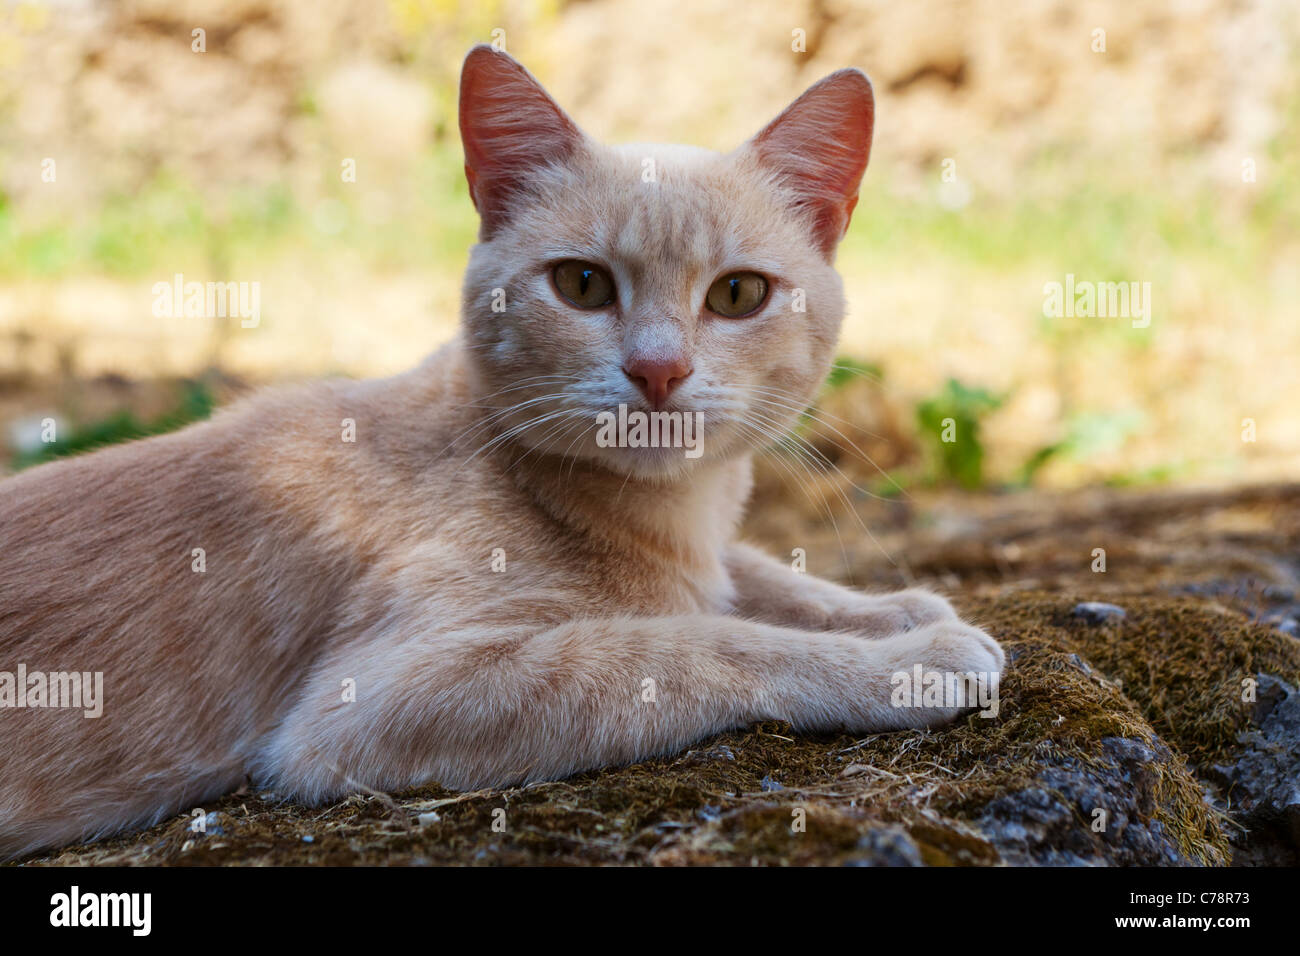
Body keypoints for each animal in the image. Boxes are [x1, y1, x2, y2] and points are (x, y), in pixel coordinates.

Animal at [0, 44, 1003, 858]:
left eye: (739, 294)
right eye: (583, 284)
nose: (659, 369)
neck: (664, 517)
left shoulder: (710, 556)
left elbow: (748, 579)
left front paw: (894, 609)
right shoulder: (370, 705)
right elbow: (690, 642)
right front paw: (908, 661)